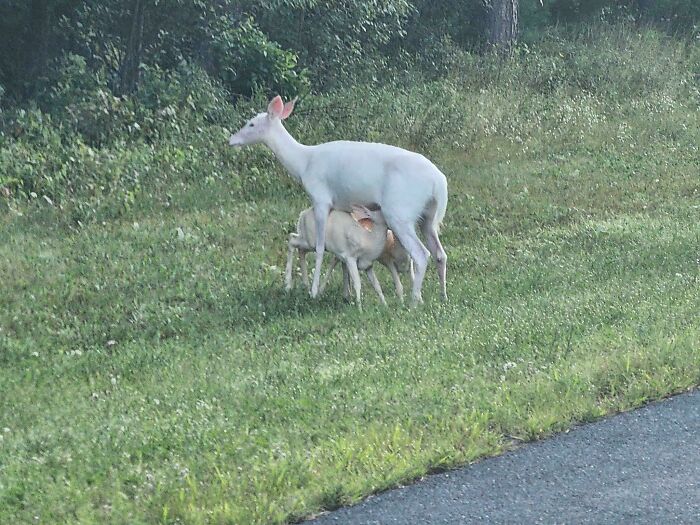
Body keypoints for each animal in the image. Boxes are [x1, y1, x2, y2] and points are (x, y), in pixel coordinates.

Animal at [228, 96, 448, 306]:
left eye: (251, 124)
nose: (231, 140)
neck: (303, 164)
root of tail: (439, 182)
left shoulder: (320, 198)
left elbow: (319, 247)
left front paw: (313, 291)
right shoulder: (343, 206)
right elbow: (339, 254)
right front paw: (346, 292)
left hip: (399, 212)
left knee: (421, 254)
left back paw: (414, 300)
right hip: (427, 216)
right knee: (439, 253)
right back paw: (442, 296)